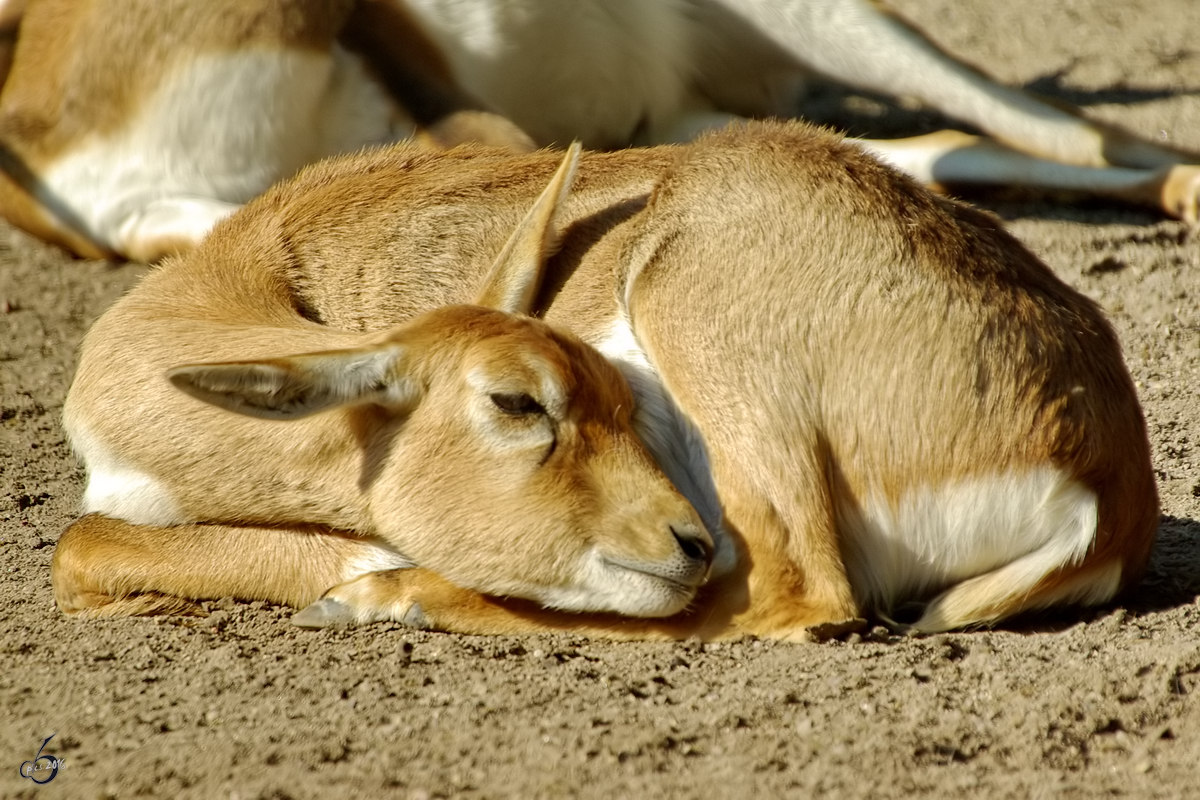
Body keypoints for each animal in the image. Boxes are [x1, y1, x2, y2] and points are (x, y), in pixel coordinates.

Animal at [54, 122, 1161, 642]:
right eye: (520, 399)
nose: (684, 538)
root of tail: (1108, 478)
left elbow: (81, 541)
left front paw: (367, 578)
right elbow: (87, 540)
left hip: (696, 331)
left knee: (792, 596)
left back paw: (392, 596)